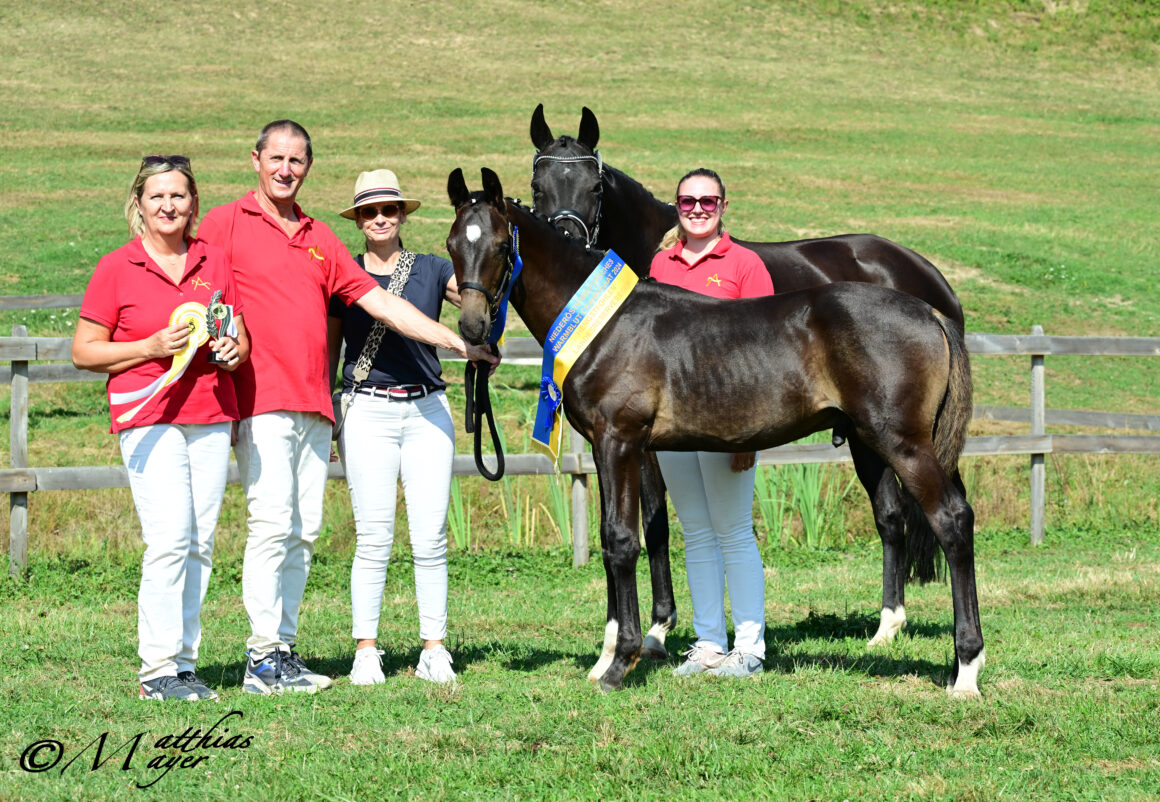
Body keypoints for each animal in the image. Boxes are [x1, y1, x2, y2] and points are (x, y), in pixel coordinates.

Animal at [447, 168, 983, 696]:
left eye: (501, 245)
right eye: (452, 243)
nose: (472, 328)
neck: (604, 322)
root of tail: (930, 311)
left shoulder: (620, 441)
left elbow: (622, 540)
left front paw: (621, 664)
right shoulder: (606, 449)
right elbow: (606, 539)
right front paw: (604, 660)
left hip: (902, 444)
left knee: (951, 520)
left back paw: (966, 670)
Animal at [533, 105, 969, 654]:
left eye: (594, 186)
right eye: (538, 184)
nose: (567, 244)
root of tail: (931, 285)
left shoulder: (636, 440)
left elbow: (652, 524)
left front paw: (656, 628)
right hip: (869, 437)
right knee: (891, 517)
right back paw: (887, 625)